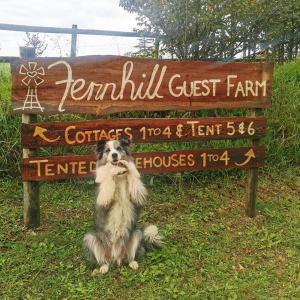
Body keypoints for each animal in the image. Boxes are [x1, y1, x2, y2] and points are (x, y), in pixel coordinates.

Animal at [82, 138, 162, 274]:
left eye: (119, 148)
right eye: (108, 150)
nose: (114, 155)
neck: (119, 177)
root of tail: (117, 257)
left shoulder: (138, 196)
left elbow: (133, 176)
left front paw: (126, 165)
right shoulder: (104, 198)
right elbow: (109, 175)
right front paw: (112, 170)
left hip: (137, 234)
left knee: (130, 256)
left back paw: (133, 263)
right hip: (90, 238)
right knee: (104, 260)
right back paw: (103, 268)